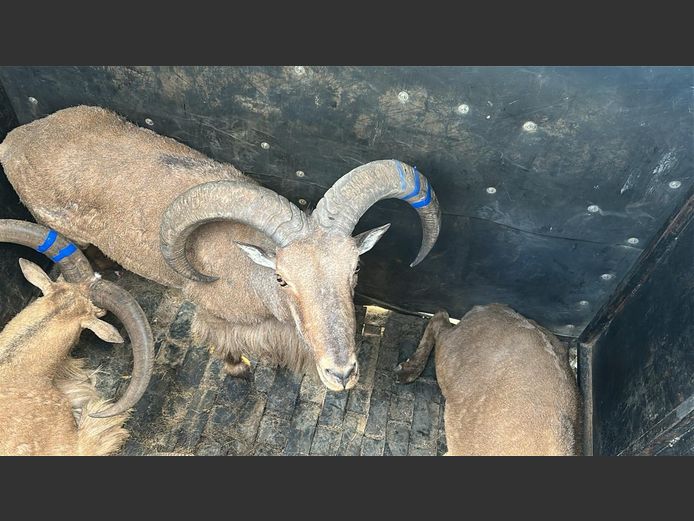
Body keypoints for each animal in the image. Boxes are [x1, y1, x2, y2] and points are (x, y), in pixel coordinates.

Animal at [0, 105, 441, 392]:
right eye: (282, 278)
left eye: (354, 270)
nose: (341, 374)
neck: (249, 273)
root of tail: (15, 138)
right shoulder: (215, 315)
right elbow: (223, 343)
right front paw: (238, 369)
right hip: (55, 226)